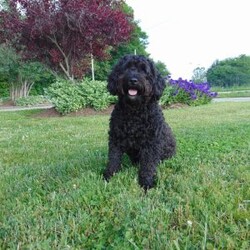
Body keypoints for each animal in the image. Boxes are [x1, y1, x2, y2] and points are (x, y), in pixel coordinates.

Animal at [103, 54, 176, 189]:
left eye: (144, 70)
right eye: (127, 68)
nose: (133, 80)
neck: (135, 111)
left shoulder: (151, 143)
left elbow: (148, 164)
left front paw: (146, 182)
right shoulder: (115, 139)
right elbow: (113, 159)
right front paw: (108, 176)